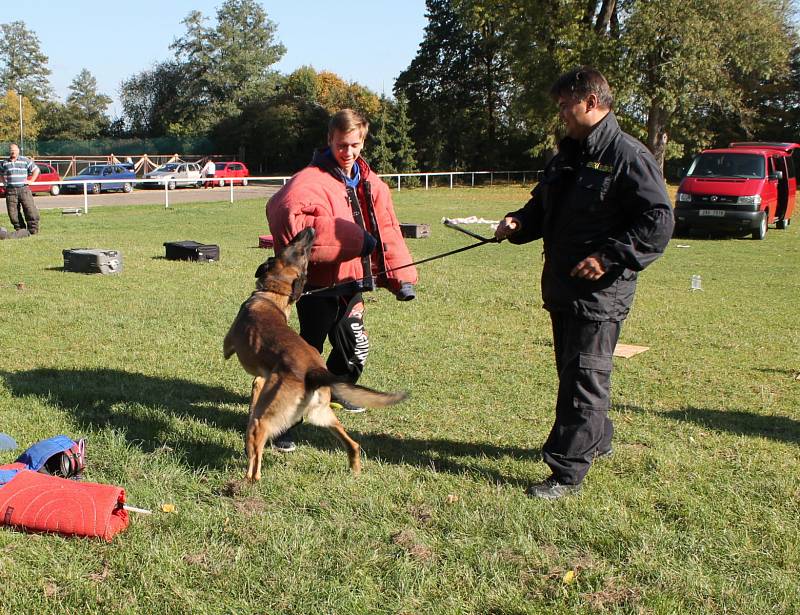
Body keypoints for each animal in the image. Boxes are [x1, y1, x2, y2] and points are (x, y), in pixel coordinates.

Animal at [222, 227, 406, 482]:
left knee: (256, 452)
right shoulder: (260, 380)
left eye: (292, 247)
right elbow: (256, 384)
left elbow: (227, 351)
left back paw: (247, 479)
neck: (273, 294)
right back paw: (354, 470)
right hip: (323, 415)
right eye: (299, 251)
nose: (309, 230)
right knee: (353, 444)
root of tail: (315, 371)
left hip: (266, 418)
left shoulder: (230, 342)